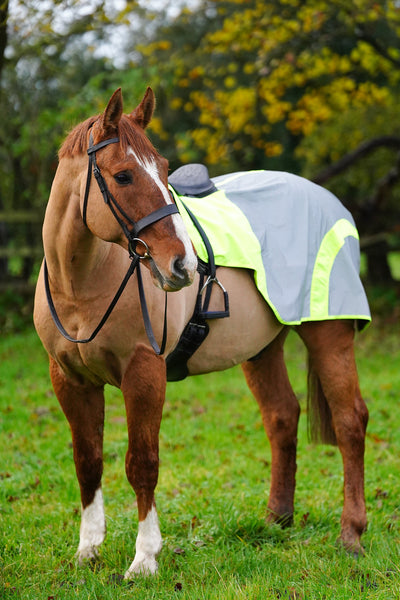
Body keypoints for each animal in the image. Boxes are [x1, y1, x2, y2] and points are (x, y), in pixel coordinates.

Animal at [34, 86, 368, 580]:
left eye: (164, 169)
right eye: (123, 176)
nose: (184, 265)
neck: (82, 285)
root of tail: (326, 197)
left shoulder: (144, 373)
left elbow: (142, 462)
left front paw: (144, 559)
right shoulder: (70, 380)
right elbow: (88, 461)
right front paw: (88, 551)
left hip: (329, 333)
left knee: (350, 422)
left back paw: (352, 536)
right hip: (263, 347)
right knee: (282, 416)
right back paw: (277, 520)